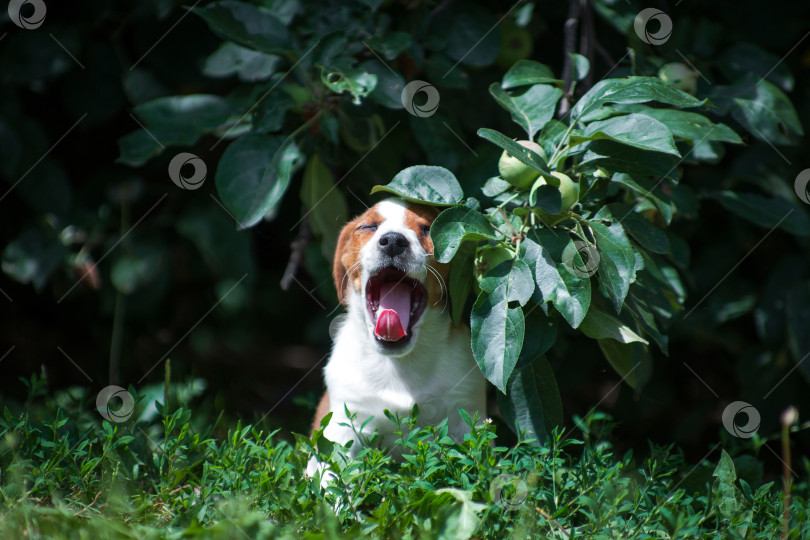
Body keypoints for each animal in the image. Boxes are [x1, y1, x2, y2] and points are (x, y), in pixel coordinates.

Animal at [310, 196, 486, 458]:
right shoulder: (340, 428)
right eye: (369, 227)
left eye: (427, 229)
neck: (400, 363)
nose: (393, 240)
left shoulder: (466, 416)